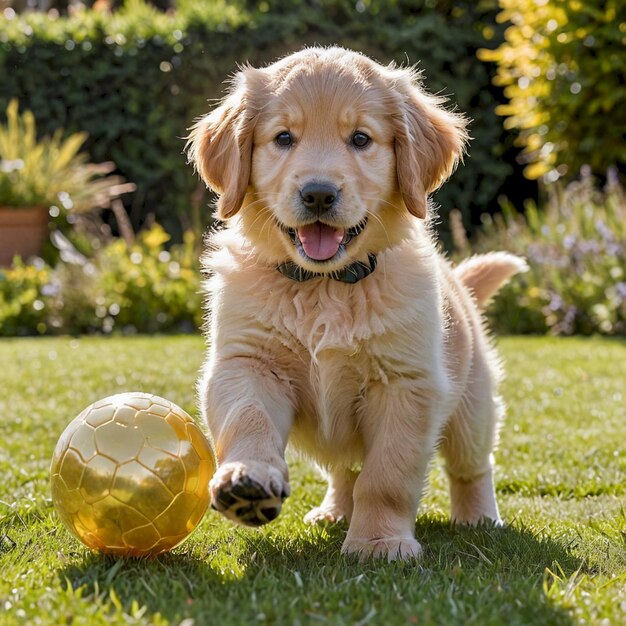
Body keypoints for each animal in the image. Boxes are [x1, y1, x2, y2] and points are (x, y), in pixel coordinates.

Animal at [186, 46, 528, 560]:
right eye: (283, 138)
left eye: (361, 139)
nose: (318, 194)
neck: (324, 286)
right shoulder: (245, 362)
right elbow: (248, 418)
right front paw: (248, 480)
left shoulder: (407, 385)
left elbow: (386, 476)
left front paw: (379, 542)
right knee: (345, 469)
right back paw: (333, 511)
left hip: (472, 407)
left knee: (472, 466)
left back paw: (479, 518)